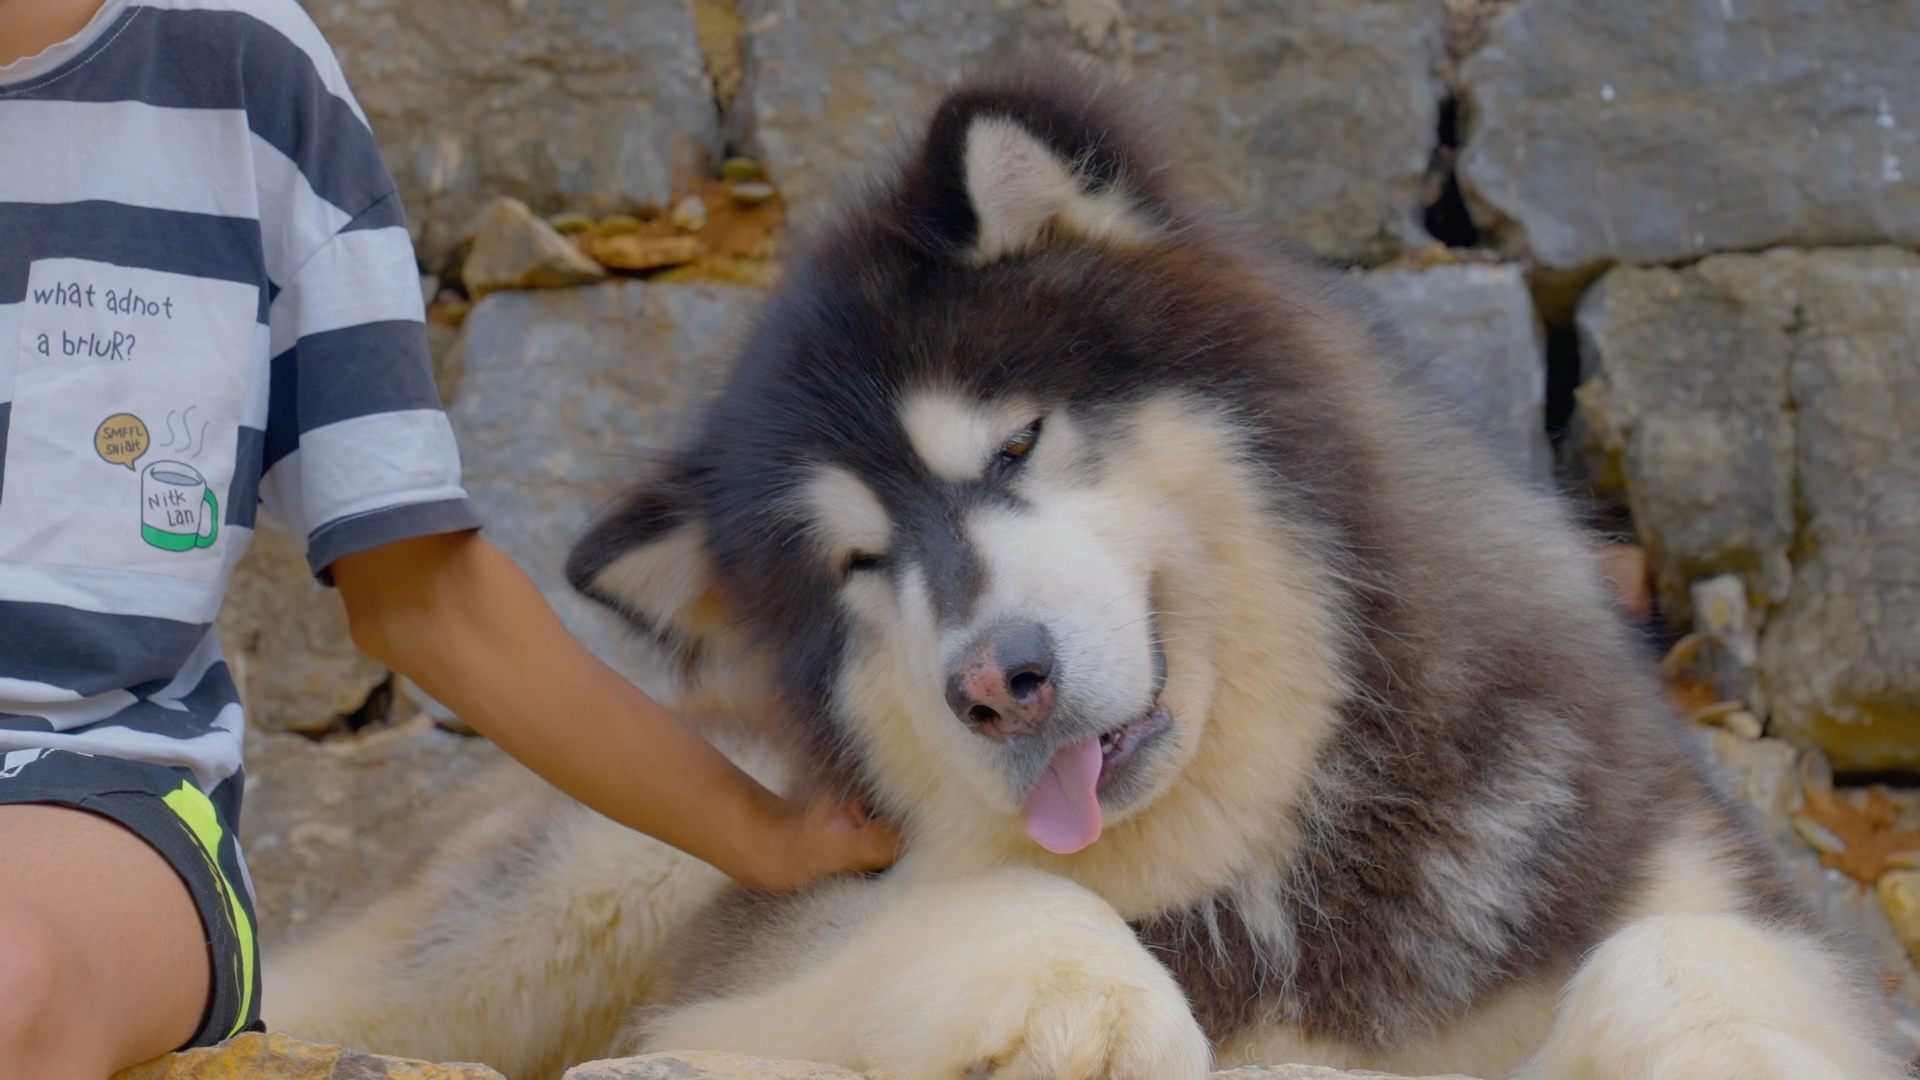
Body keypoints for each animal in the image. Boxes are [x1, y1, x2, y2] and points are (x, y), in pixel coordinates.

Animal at [266, 71, 1904, 1068]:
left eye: (1014, 444)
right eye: (859, 564)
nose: (1000, 686)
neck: (1270, 883)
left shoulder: (1695, 894)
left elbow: (1688, 955)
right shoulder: (733, 978)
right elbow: (994, 912)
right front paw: (1096, 1004)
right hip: (600, 865)